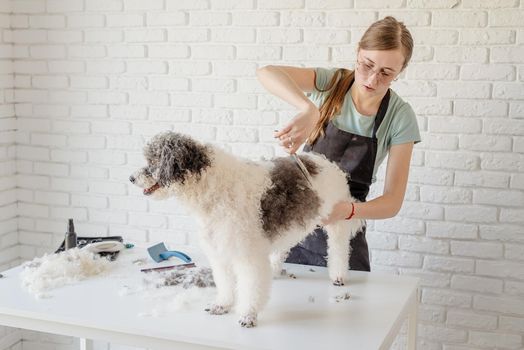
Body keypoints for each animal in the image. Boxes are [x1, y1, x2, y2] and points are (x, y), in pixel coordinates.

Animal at [129, 131, 362, 328]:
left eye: (153, 161)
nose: (131, 178)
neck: (213, 189)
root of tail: (327, 163)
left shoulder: (247, 254)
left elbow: (251, 287)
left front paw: (248, 315)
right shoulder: (220, 251)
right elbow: (225, 283)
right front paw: (222, 305)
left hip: (337, 222)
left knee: (339, 250)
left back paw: (338, 275)